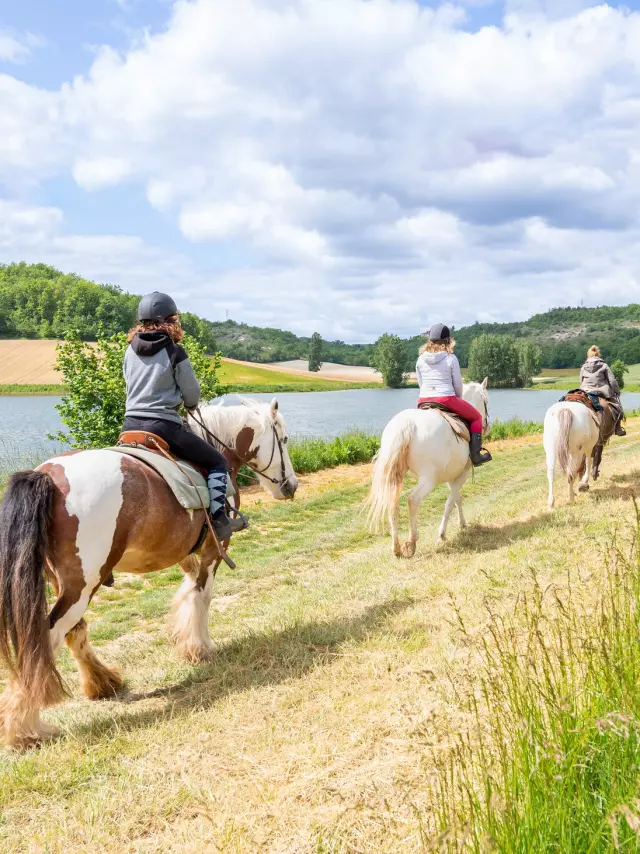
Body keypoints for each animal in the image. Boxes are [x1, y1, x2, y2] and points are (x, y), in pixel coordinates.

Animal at [0, 398, 298, 744]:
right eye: (284, 439)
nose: (291, 485)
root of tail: (46, 475)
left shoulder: (183, 552)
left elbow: (189, 589)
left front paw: (184, 639)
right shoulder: (214, 547)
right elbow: (202, 595)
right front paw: (200, 648)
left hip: (66, 583)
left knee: (74, 631)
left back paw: (103, 683)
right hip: (82, 585)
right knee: (45, 640)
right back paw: (26, 728)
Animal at [364, 380, 490, 556]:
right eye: (486, 401)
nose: (487, 426)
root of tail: (406, 425)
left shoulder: (452, 475)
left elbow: (456, 498)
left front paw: (462, 524)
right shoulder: (462, 474)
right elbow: (450, 502)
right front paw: (442, 534)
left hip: (396, 475)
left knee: (392, 503)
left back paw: (396, 548)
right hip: (429, 480)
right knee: (412, 500)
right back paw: (412, 541)